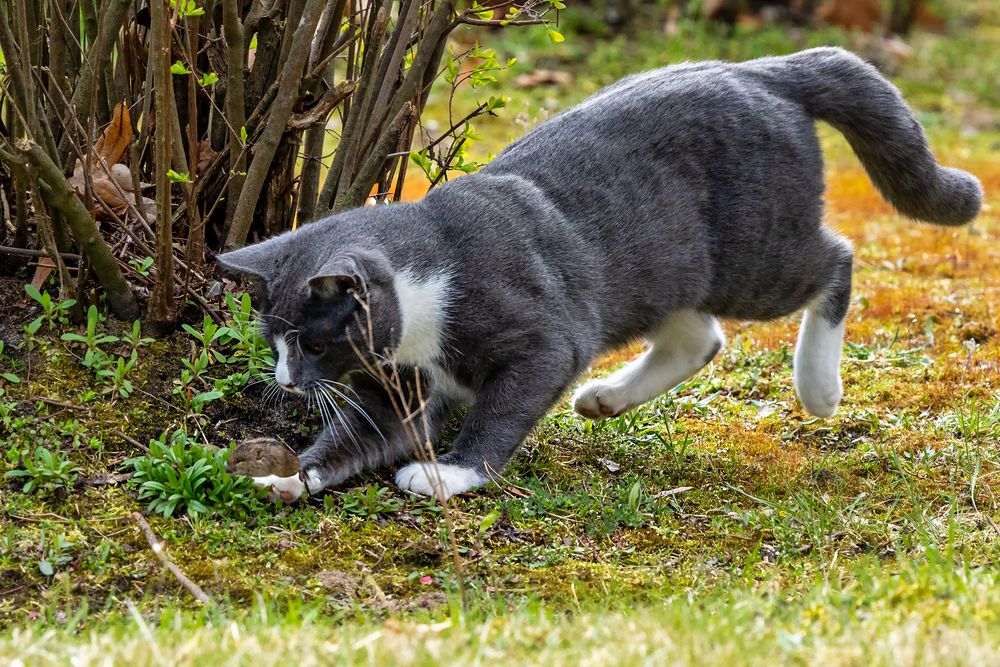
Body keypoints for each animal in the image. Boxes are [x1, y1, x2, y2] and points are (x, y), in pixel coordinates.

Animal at [217, 48, 976, 500]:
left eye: (315, 343)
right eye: (274, 342)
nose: (286, 381)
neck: (426, 278)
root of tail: (765, 70)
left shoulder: (541, 330)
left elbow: (505, 404)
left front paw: (450, 471)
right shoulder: (396, 387)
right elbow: (362, 435)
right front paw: (291, 477)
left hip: (753, 255)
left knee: (834, 260)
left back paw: (818, 386)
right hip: (669, 267)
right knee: (699, 335)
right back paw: (606, 398)